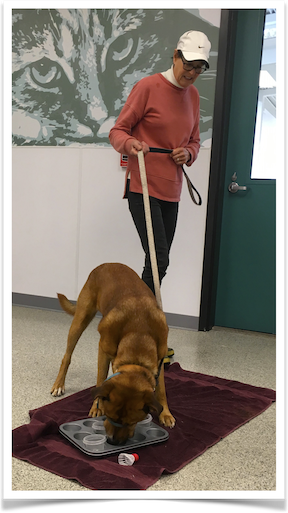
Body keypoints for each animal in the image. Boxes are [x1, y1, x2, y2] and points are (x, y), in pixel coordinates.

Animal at [50, 262, 174, 442]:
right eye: (109, 417)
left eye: (132, 422)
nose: (113, 442)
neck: (139, 333)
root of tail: (108, 264)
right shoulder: (103, 349)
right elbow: (101, 379)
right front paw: (96, 407)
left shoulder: (160, 358)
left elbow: (162, 390)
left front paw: (166, 413)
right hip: (81, 318)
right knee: (67, 356)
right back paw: (59, 385)